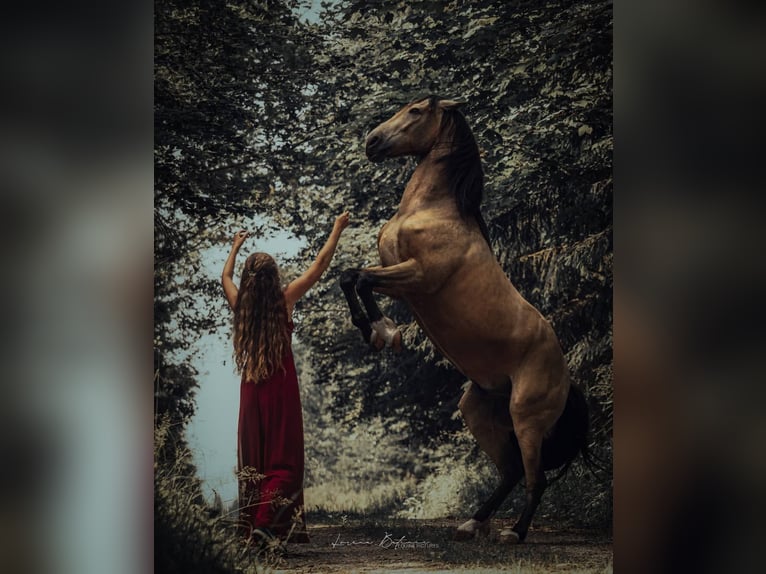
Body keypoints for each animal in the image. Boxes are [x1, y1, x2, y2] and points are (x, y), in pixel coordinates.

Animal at [340, 95, 592, 544]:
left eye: (417, 111)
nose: (372, 142)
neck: (434, 211)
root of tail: (566, 380)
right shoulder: (401, 281)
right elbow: (350, 276)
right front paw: (373, 331)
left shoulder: (417, 276)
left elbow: (362, 278)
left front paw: (385, 333)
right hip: (480, 413)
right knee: (510, 473)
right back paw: (472, 523)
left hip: (526, 419)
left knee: (535, 479)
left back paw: (515, 534)